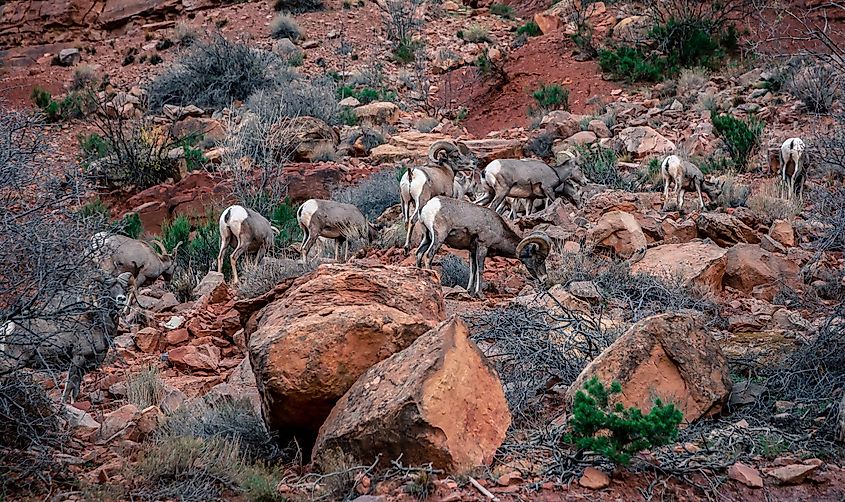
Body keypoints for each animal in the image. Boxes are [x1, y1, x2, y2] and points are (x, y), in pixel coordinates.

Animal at [0, 270, 132, 404]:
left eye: (124, 289)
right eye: (107, 289)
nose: (121, 299)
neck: (99, 326)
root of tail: (8, 327)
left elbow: (76, 389)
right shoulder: (78, 359)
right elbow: (69, 386)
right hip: (14, 360)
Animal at [416, 196, 552, 298]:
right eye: (539, 259)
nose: (544, 278)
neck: (499, 231)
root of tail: (428, 206)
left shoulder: (472, 250)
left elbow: (473, 270)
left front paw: (469, 292)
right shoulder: (483, 246)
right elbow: (480, 270)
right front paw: (480, 294)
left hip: (427, 238)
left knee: (419, 253)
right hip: (438, 237)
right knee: (428, 256)